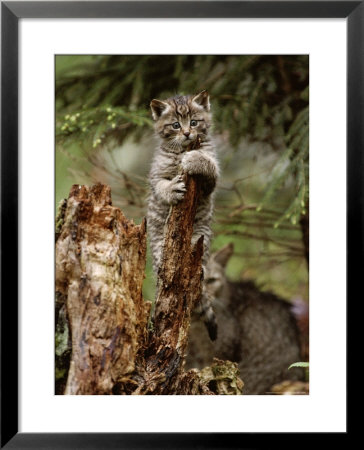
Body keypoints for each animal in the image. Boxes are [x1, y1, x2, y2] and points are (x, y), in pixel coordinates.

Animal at [147, 89, 219, 340]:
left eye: (194, 122)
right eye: (176, 125)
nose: (188, 133)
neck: (180, 151)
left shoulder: (210, 181)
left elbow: (207, 164)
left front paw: (195, 159)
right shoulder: (156, 176)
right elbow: (161, 186)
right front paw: (171, 190)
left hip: (202, 237)